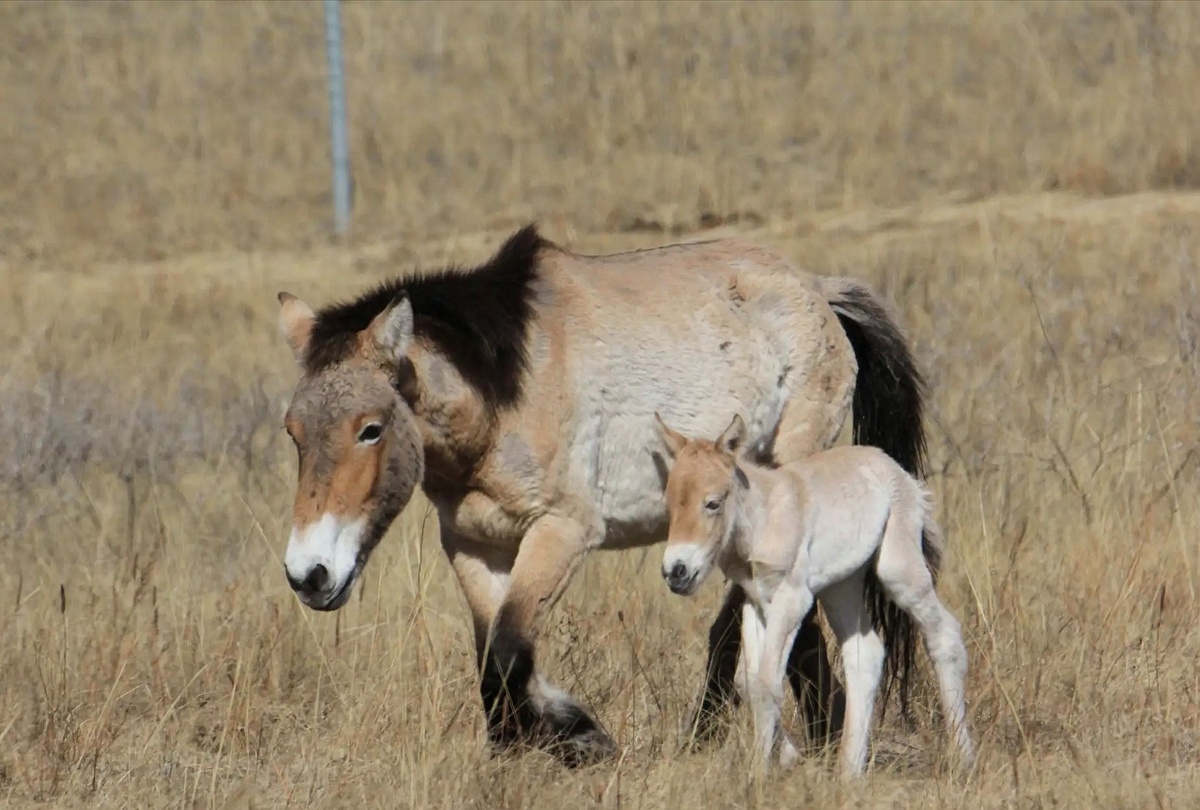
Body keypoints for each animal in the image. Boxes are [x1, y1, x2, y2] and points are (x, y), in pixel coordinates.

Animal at [274, 224, 930, 766]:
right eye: (293, 431)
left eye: (370, 428)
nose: (309, 575)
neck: (504, 396)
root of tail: (818, 291)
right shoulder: (472, 544)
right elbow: (494, 653)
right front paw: (525, 746)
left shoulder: (562, 533)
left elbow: (508, 653)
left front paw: (578, 739)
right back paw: (818, 731)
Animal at [654, 412, 974, 778]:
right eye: (669, 504)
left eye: (712, 503)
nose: (676, 571)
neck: (765, 515)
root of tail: (900, 473)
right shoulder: (754, 601)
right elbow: (748, 681)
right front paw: (788, 759)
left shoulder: (792, 600)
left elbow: (766, 683)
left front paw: (758, 775)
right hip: (841, 587)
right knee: (865, 651)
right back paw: (849, 772)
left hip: (899, 570)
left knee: (944, 633)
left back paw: (963, 759)